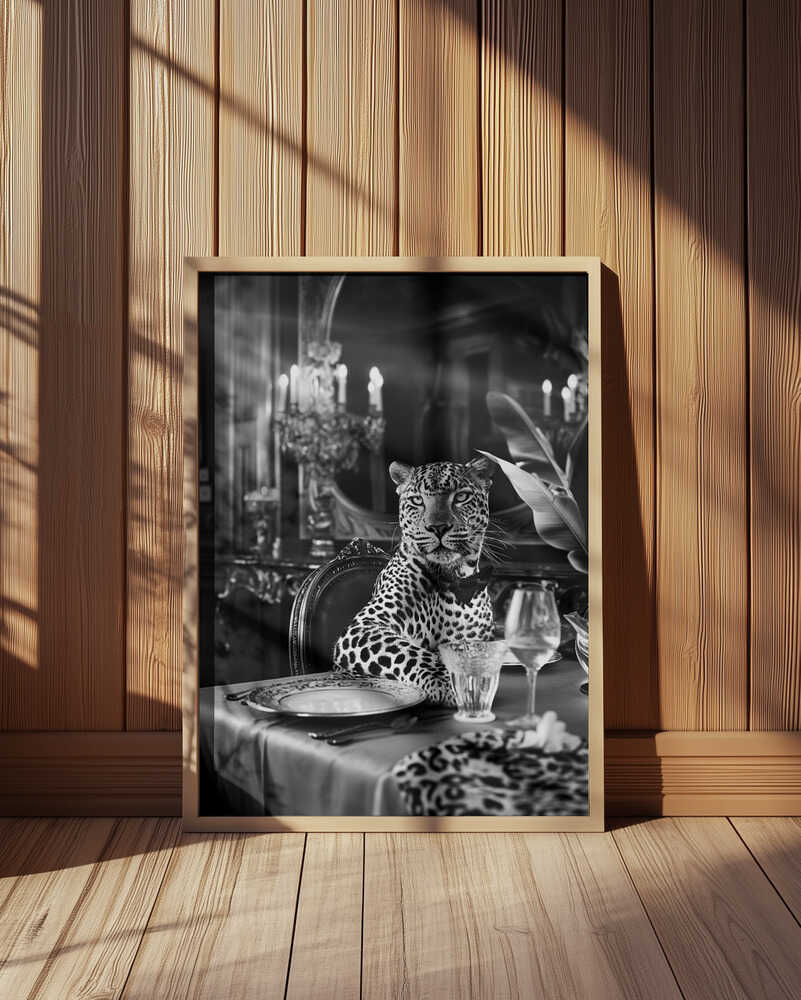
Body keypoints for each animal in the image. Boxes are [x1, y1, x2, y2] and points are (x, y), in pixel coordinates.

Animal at [333, 457, 496, 705]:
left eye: (460, 497)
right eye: (417, 500)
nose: (438, 527)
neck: (452, 577)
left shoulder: (479, 640)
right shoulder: (365, 625)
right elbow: (409, 651)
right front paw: (447, 682)